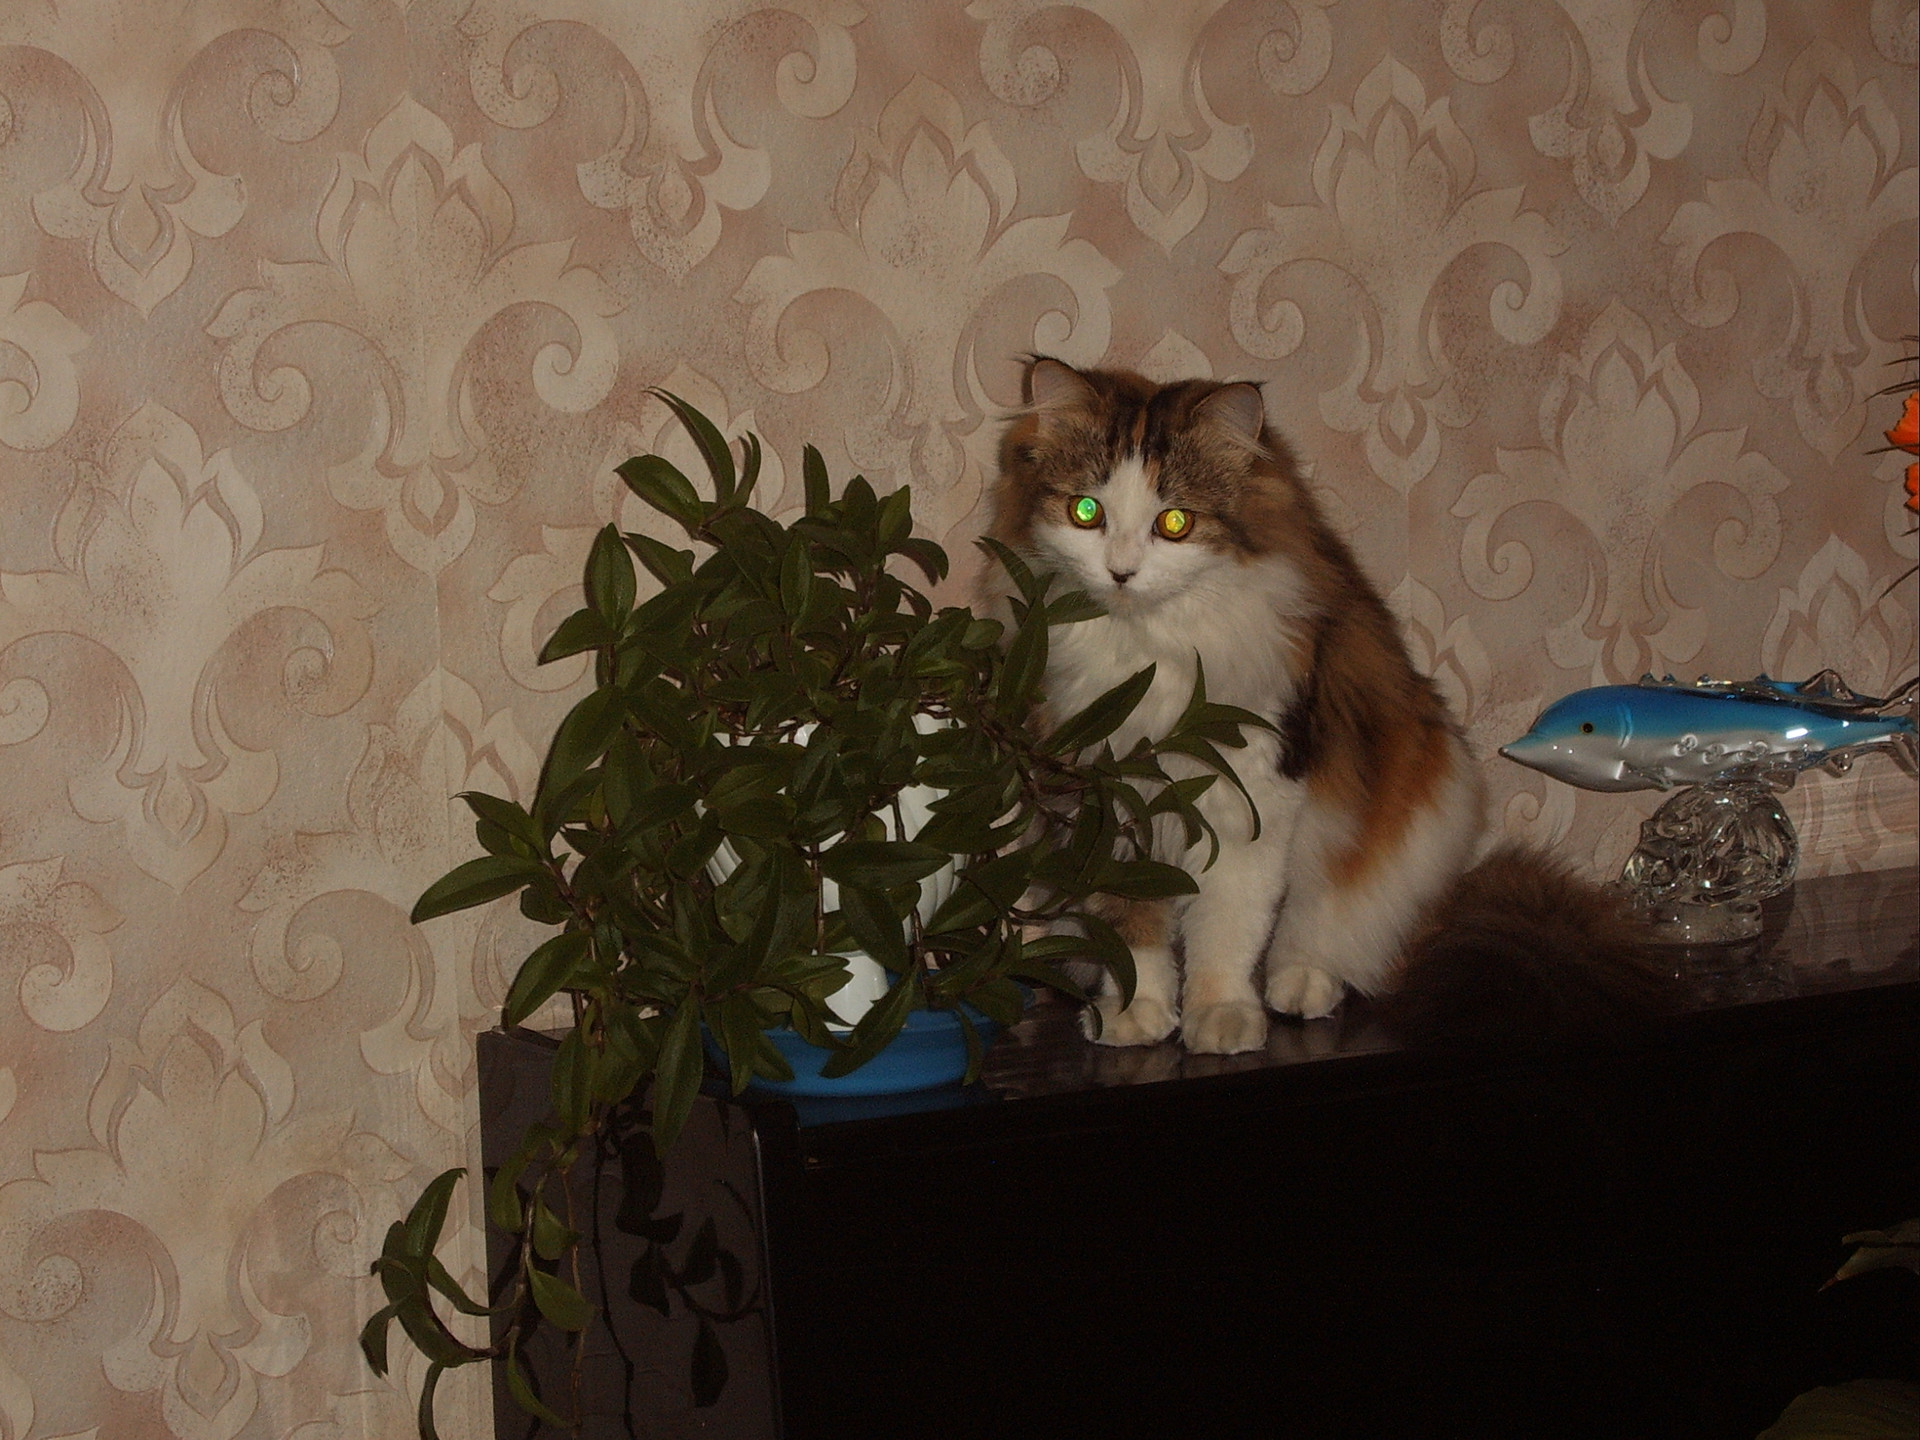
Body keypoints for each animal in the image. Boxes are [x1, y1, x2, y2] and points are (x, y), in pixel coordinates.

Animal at [976, 357, 1669, 1056]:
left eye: (1175, 523)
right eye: (1086, 510)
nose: (1121, 572)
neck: (1148, 654)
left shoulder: (1251, 792)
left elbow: (1228, 924)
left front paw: (1221, 1012)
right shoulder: (1105, 797)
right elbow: (1130, 933)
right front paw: (1135, 1011)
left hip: (1399, 816)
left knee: (1330, 931)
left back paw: (1301, 984)